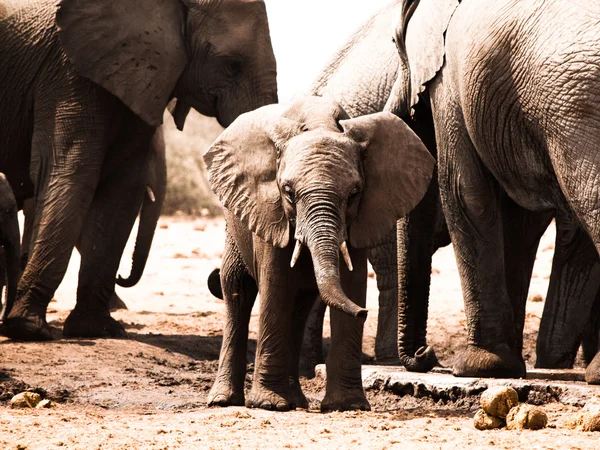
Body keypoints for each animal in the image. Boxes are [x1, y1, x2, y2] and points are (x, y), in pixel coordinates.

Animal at [0, 0, 276, 340]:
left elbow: (122, 189)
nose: (214, 279)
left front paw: (97, 329)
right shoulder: (69, 74)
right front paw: (28, 329)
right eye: (232, 65)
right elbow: (72, 175)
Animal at [204, 96, 434, 412]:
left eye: (354, 193)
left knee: (300, 304)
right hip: (234, 222)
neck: (319, 121)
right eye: (288, 192)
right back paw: (224, 401)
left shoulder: (361, 216)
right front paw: (269, 405)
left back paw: (295, 401)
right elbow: (275, 287)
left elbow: (352, 281)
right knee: (238, 289)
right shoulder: (270, 211)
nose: (364, 312)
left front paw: (348, 406)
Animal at [386, 0, 600, 380]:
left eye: (395, 42)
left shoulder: (449, 81)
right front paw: (507, 367)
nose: (428, 356)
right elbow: (519, 221)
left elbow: (463, 190)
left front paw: (478, 367)